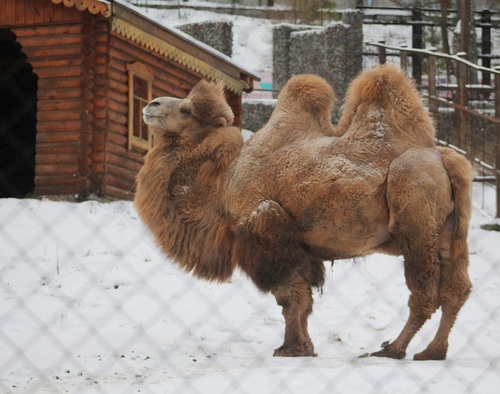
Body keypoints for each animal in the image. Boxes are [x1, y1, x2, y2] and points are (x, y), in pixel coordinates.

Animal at [134, 65, 472, 360]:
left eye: (187, 111)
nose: (151, 104)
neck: (222, 186)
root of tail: (445, 158)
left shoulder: (267, 228)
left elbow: (289, 297)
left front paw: (291, 348)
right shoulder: (304, 248)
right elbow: (305, 301)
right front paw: (306, 346)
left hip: (414, 213)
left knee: (424, 293)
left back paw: (393, 349)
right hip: (449, 230)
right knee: (456, 289)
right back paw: (432, 352)